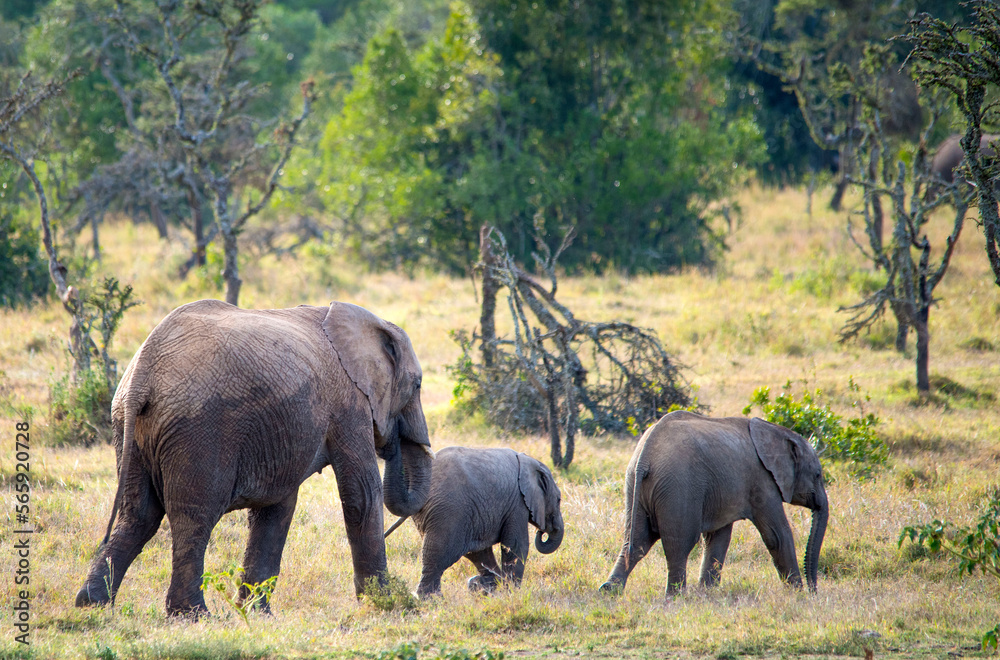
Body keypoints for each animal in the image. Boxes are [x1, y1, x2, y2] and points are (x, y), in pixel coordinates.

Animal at [75, 299, 433, 616]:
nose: (392, 441)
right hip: (199, 431)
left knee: (137, 515)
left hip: (129, 428)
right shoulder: (348, 402)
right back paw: (193, 616)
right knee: (194, 518)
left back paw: (92, 605)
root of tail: (142, 373)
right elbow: (362, 495)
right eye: (417, 385)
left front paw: (257, 613)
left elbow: (276, 508)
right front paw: (388, 604)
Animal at [383, 446, 564, 598]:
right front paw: (511, 592)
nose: (542, 531)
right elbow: (515, 546)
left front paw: (487, 587)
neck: (531, 462)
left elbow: (482, 551)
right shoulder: (517, 504)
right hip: (449, 510)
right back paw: (429, 599)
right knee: (438, 552)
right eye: (559, 500)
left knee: (471, 551)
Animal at [599, 411, 828, 597]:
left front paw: (707, 592)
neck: (776, 430)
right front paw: (798, 594)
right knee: (679, 544)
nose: (814, 591)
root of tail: (645, 458)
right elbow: (777, 536)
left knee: (637, 541)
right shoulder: (763, 481)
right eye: (817, 475)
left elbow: (718, 538)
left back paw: (609, 590)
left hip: (635, 486)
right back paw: (676, 597)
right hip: (679, 486)